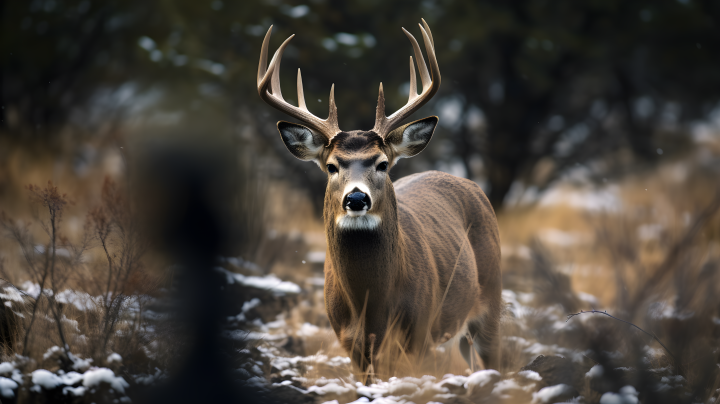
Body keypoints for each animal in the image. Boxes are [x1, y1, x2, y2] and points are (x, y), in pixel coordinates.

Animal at [258, 18, 500, 372]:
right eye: (331, 166)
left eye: (383, 163)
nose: (356, 199)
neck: (371, 307)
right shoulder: (351, 345)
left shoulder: (418, 335)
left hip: (492, 299)